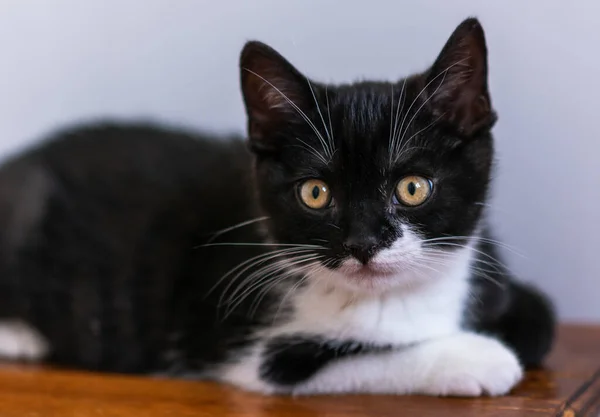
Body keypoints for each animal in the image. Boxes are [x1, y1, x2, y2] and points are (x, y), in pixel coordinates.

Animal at [0, 16, 552, 394]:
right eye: (315, 193)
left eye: (413, 188)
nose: (363, 243)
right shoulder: (238, 344)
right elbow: (344, 361)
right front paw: (476, 358)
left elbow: (541, 320)